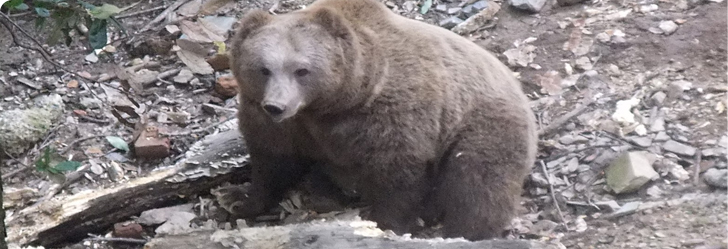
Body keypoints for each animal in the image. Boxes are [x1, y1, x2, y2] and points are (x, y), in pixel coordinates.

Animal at [219, 0, 536, 239]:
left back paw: (464, 231)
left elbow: (398, 174)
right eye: (263, 69)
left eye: (301, 70)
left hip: (482, 125)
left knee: (477, 182)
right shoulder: (282, 125)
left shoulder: (390, 116)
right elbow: (272, 161)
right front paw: (238, 199)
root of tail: (517, 86)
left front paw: (386, 224)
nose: (276, 106)